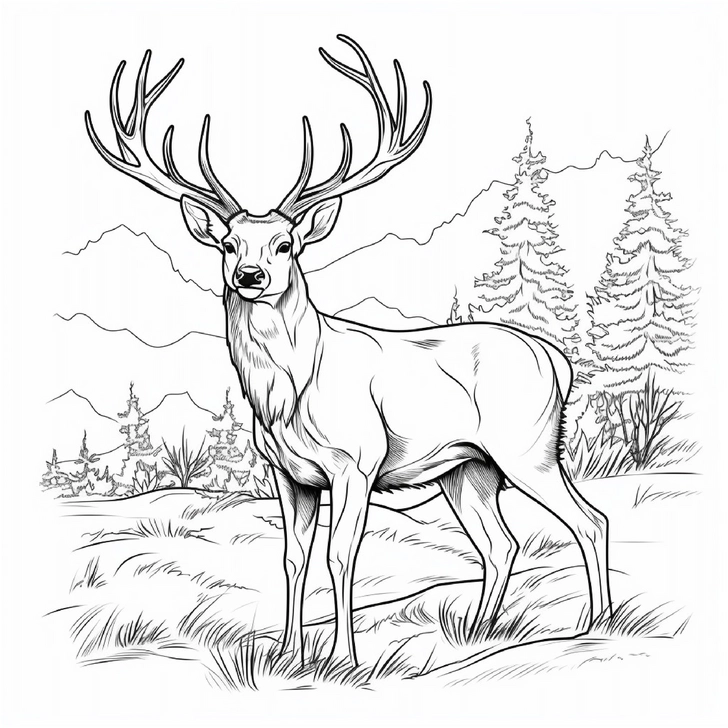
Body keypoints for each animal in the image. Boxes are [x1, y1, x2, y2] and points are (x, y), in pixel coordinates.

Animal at [85, 35, 612, 667]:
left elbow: (341, 555)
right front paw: (287, 653)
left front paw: (344, 657)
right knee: (501, 543)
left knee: (591, 521)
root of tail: (557, 360)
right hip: (469, 468)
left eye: (285, 243)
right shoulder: (290, 475)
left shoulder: (357, 461)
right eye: (228, 244)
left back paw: (595, 622)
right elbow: (293, 557)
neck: (289, 396)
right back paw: (481, 630)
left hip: (527, 447)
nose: (250, 275)